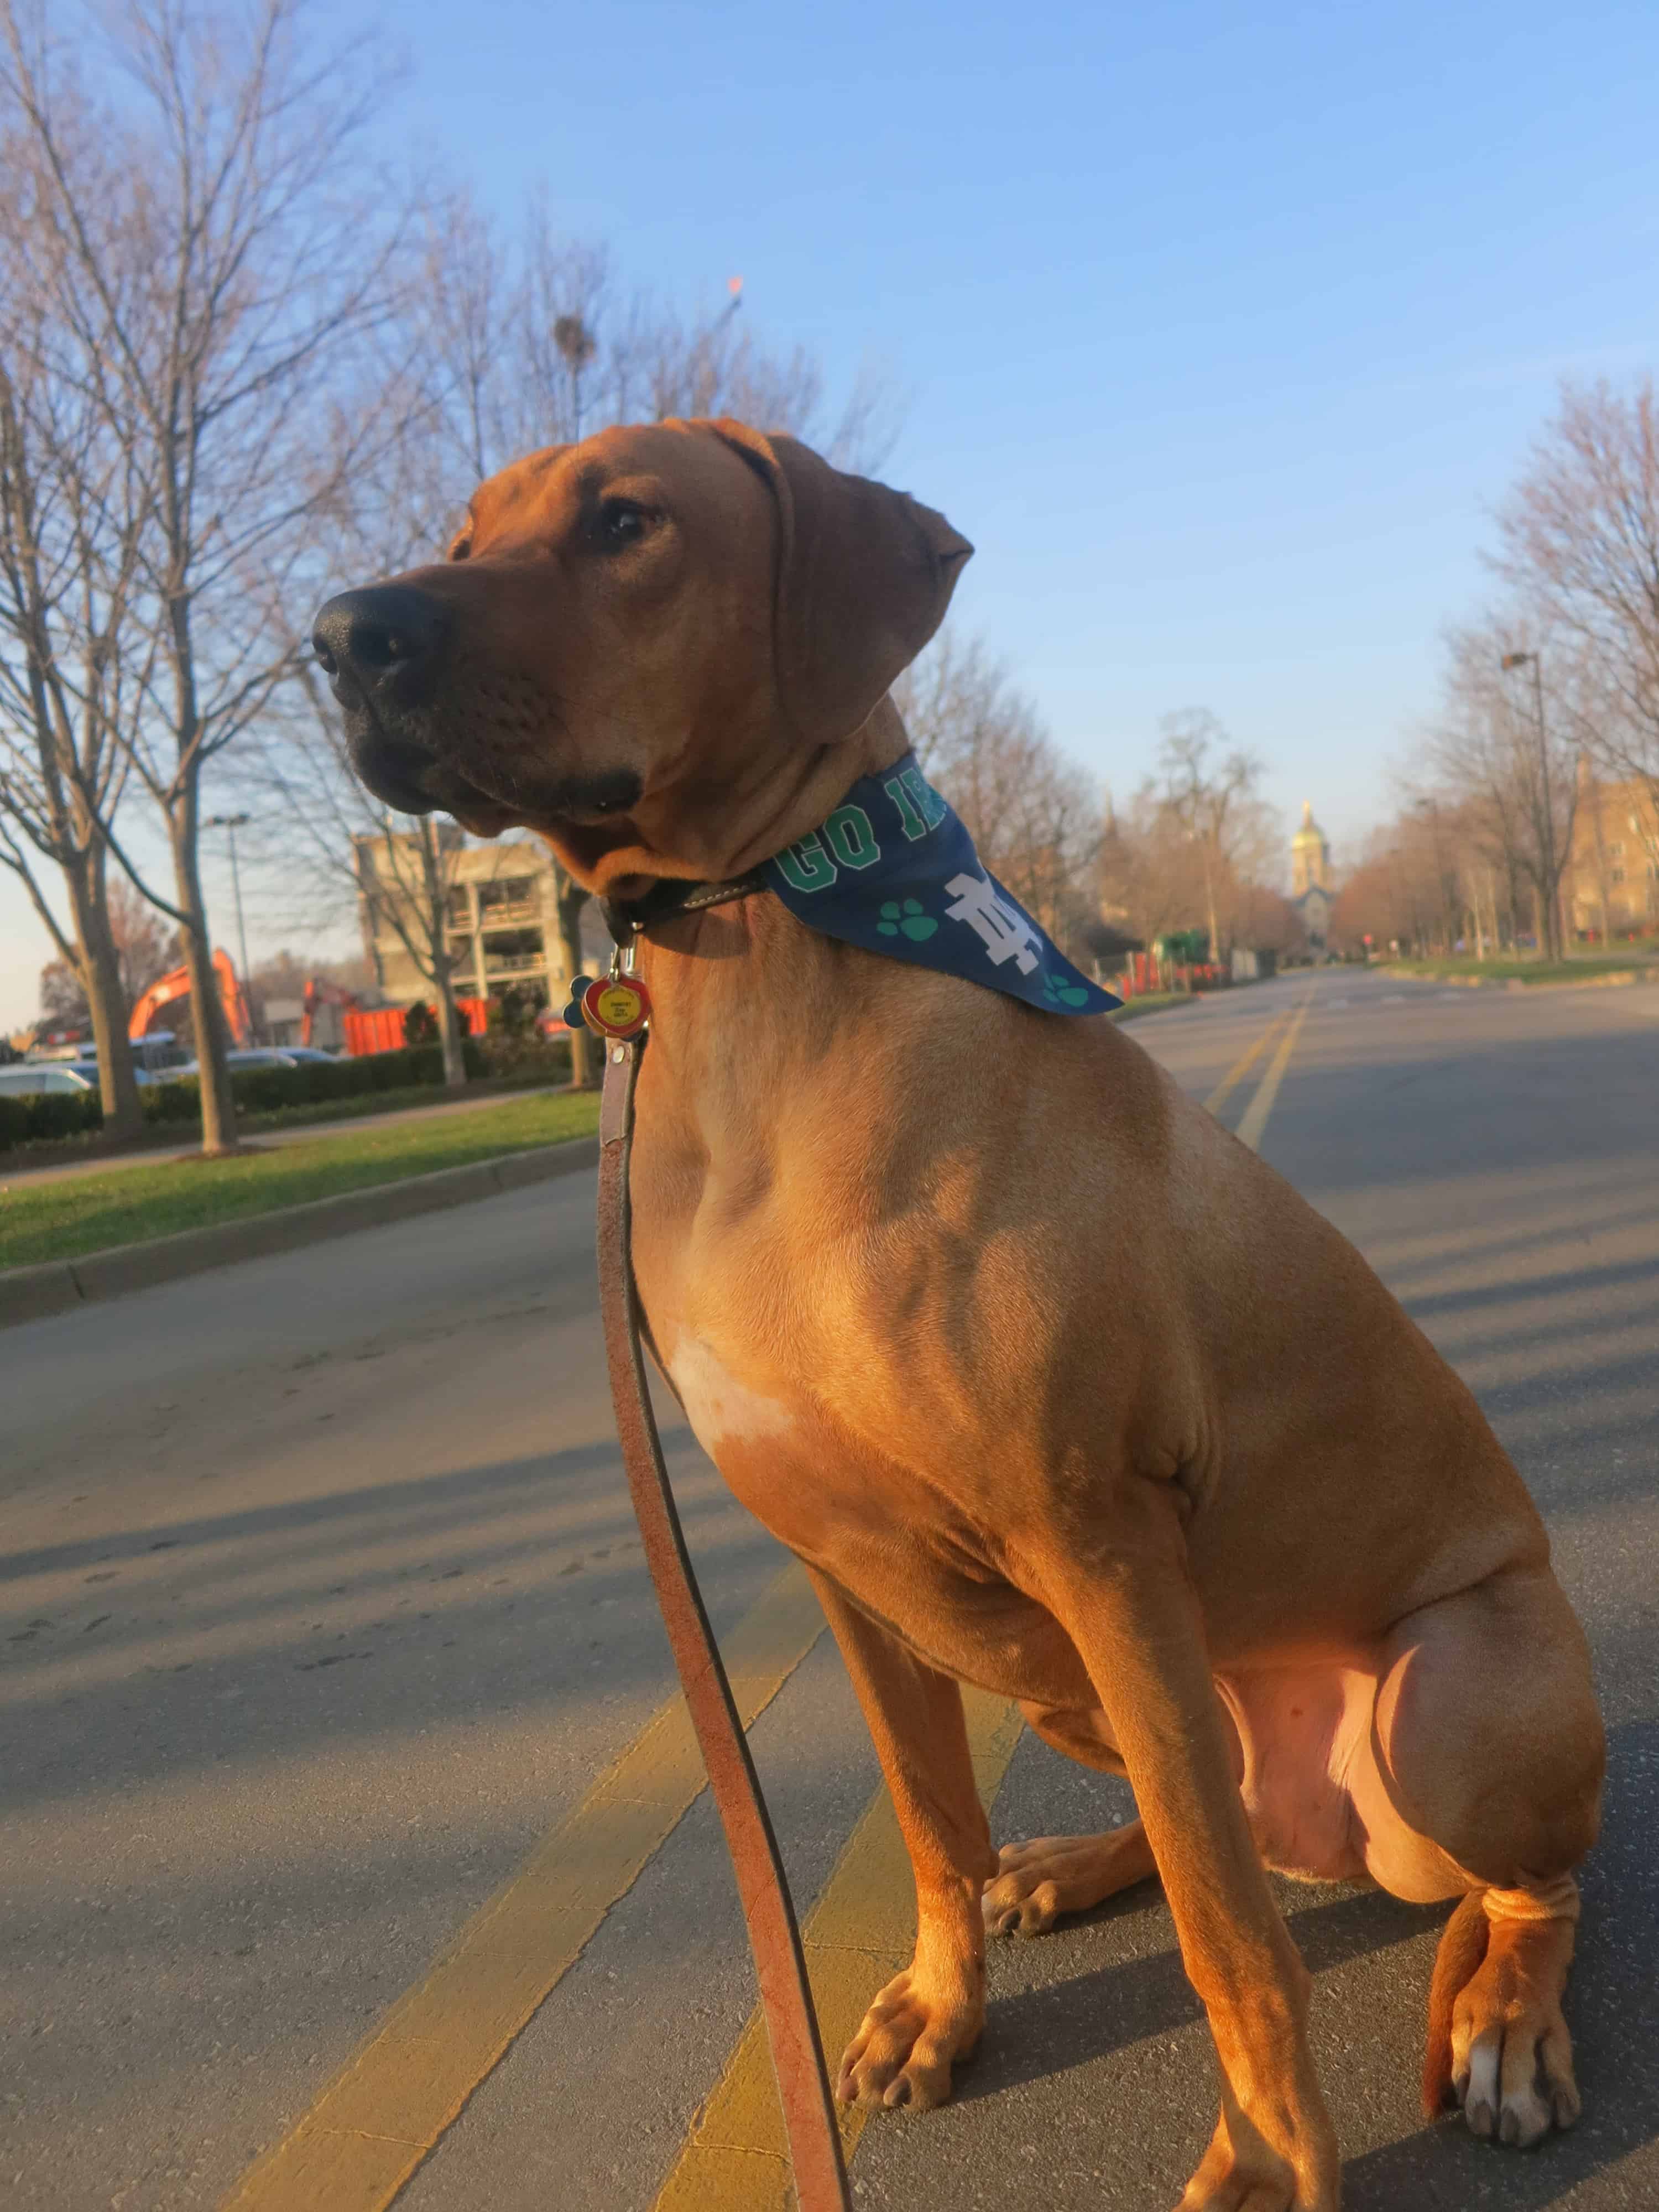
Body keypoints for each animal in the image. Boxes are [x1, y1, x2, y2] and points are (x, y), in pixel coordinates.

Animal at [314, 422, 1610, 2203]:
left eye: (627, 521)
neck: (762, 959)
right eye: (461, 537)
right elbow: (938, 1821)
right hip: (1058, 1663)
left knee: (1495, 1883)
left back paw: (1503, 2021)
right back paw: (1068, 1862)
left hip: (1446, 1702)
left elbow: (1228, 1937)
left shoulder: (1096, 1534)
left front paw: (1269, 2161)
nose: (343, 634)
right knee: (1205, 1812)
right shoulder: (849, 1566)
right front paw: (945, 2007)